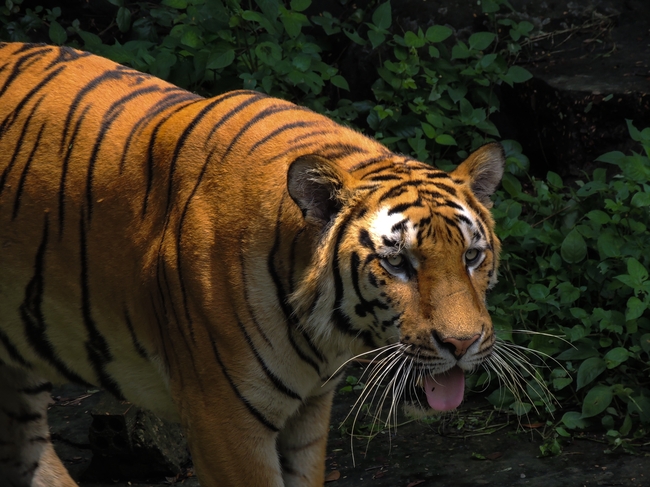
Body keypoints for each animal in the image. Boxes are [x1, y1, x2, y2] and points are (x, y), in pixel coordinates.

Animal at [0, 42, 505, 487]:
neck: (323, 338)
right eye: (397, 262)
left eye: (471, 256)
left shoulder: (309, 415)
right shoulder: (224, 422)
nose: (462, 344)